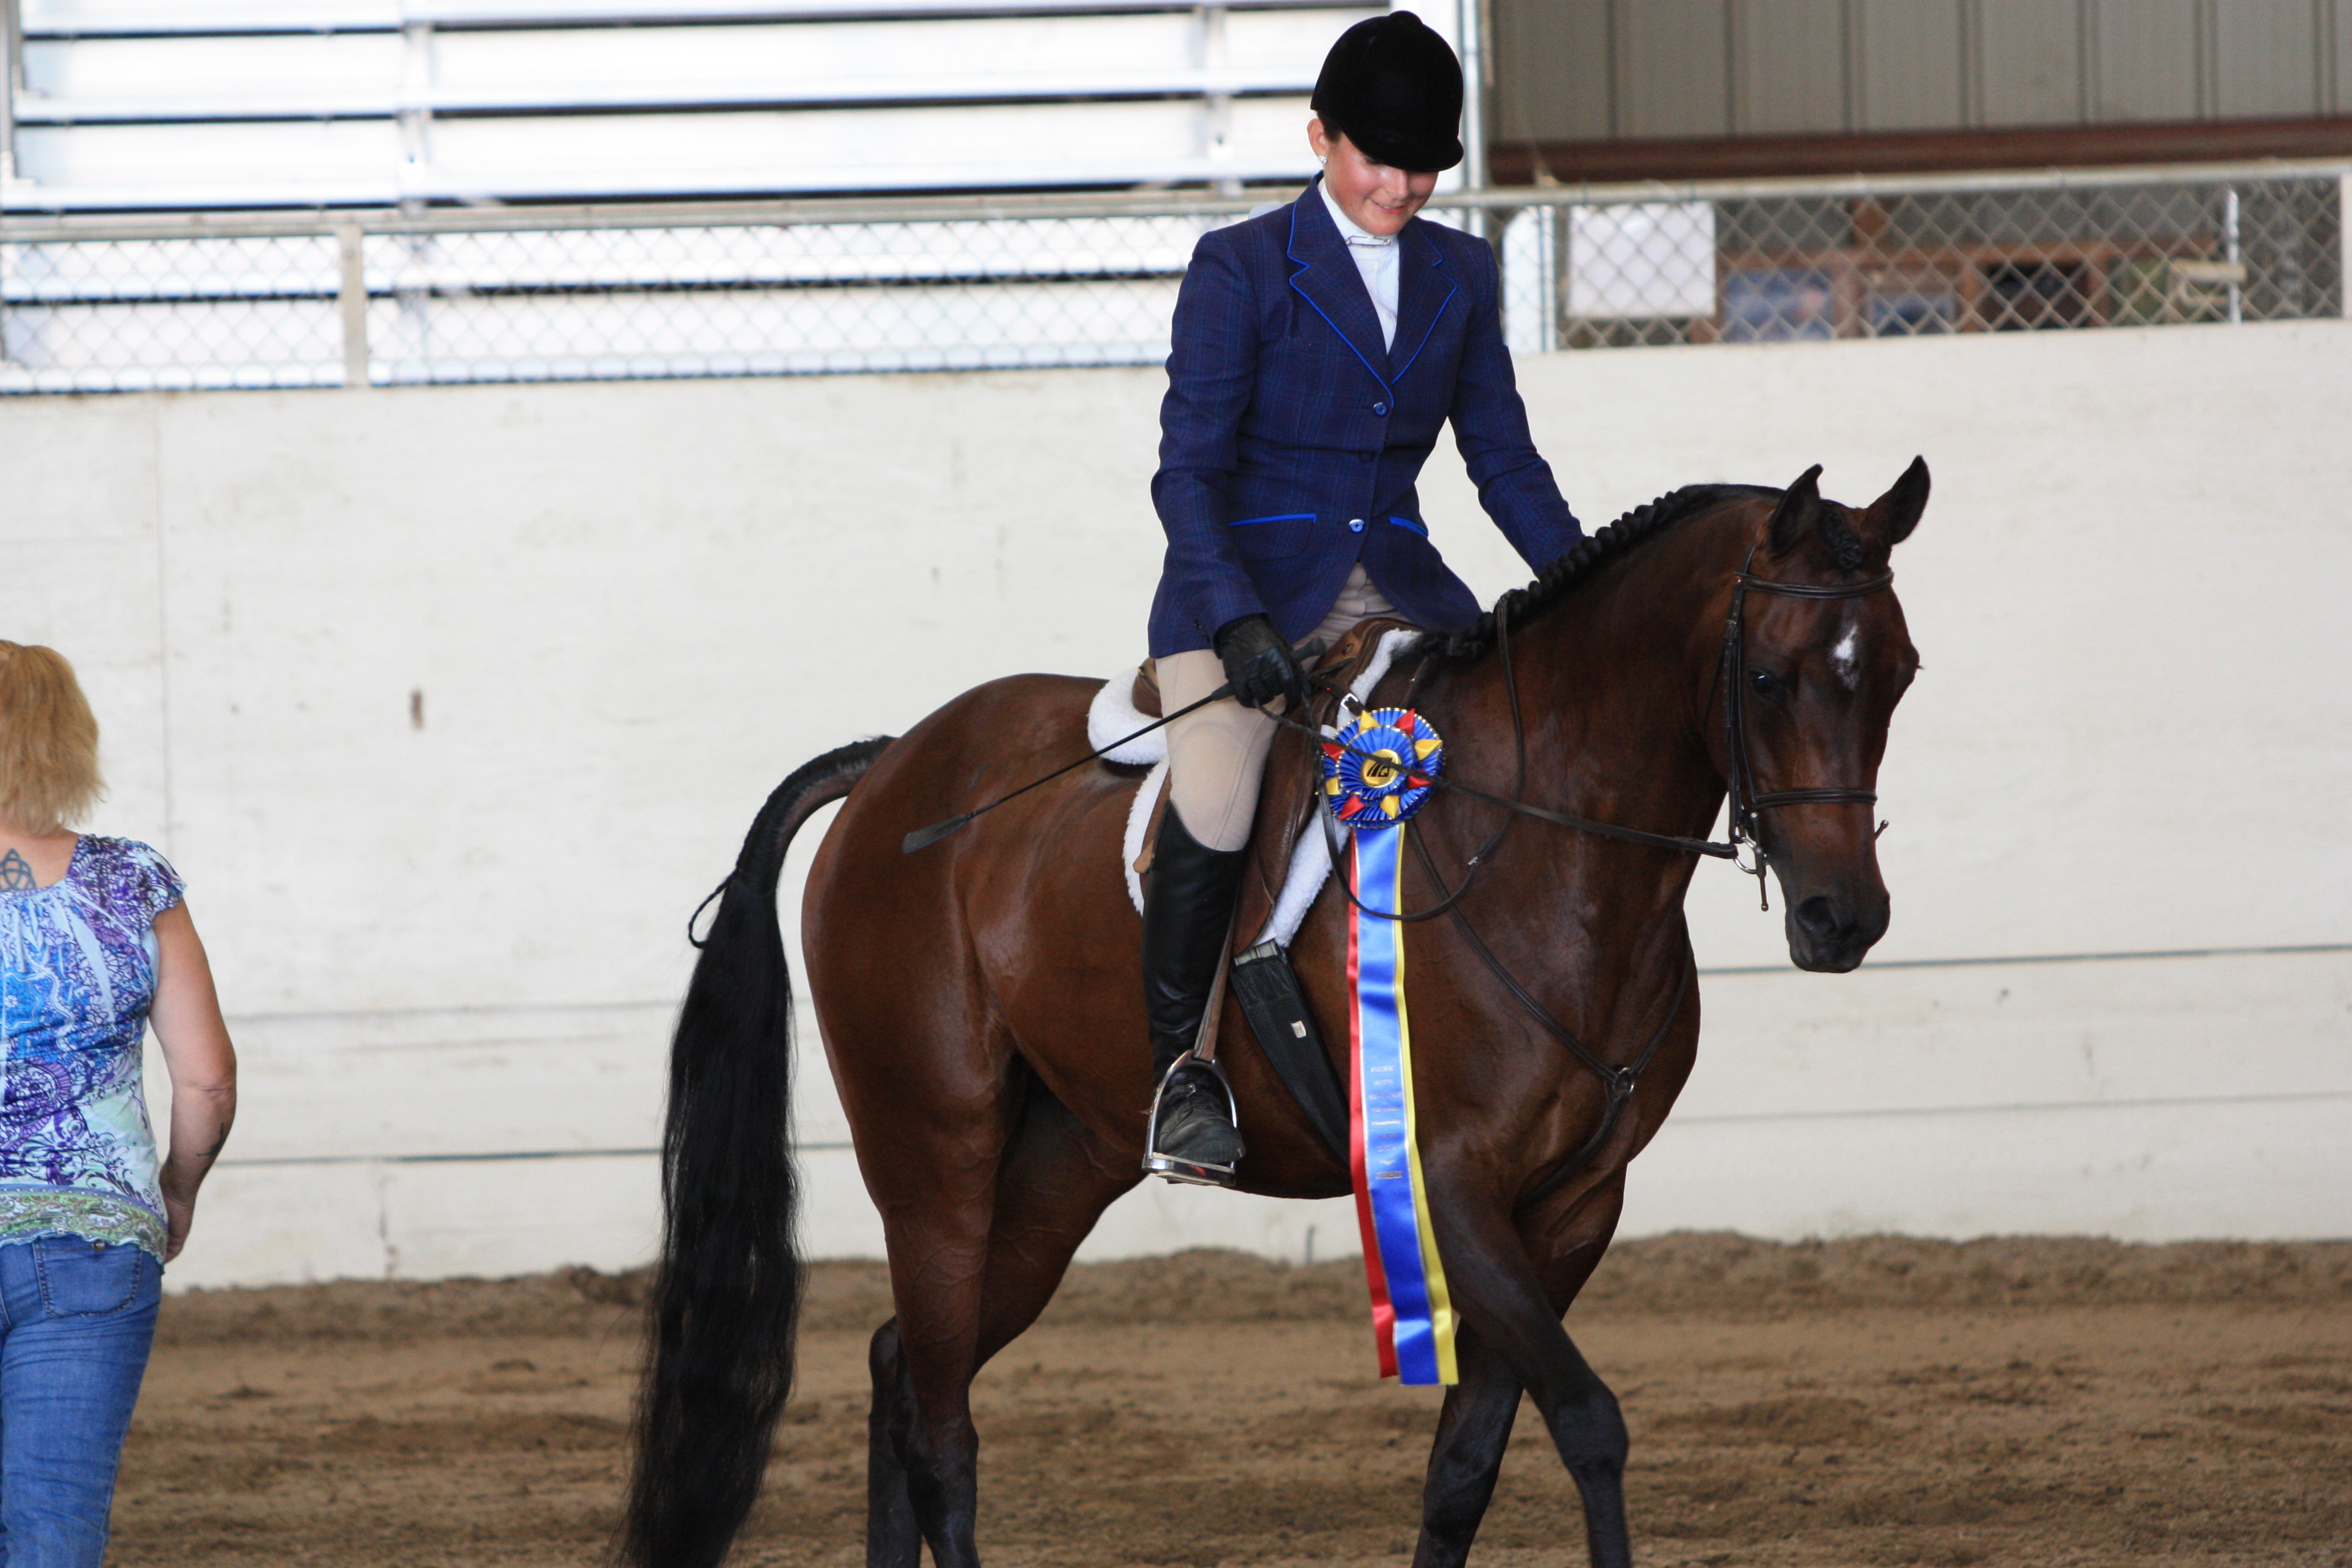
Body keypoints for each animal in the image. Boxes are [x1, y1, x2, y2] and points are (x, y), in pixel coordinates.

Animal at [622, 460, 1929, 1568]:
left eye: (1902, 673)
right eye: (1765, 677)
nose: (1842, 919)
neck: (1549, 847)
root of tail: (891, 768)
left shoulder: (1570, 1207)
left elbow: (1467, 1461)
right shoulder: (1450, 1180)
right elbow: (1590, 1419)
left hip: (1060, 1164)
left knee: (902, 1366)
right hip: (936, 1153)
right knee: (941, 1422)